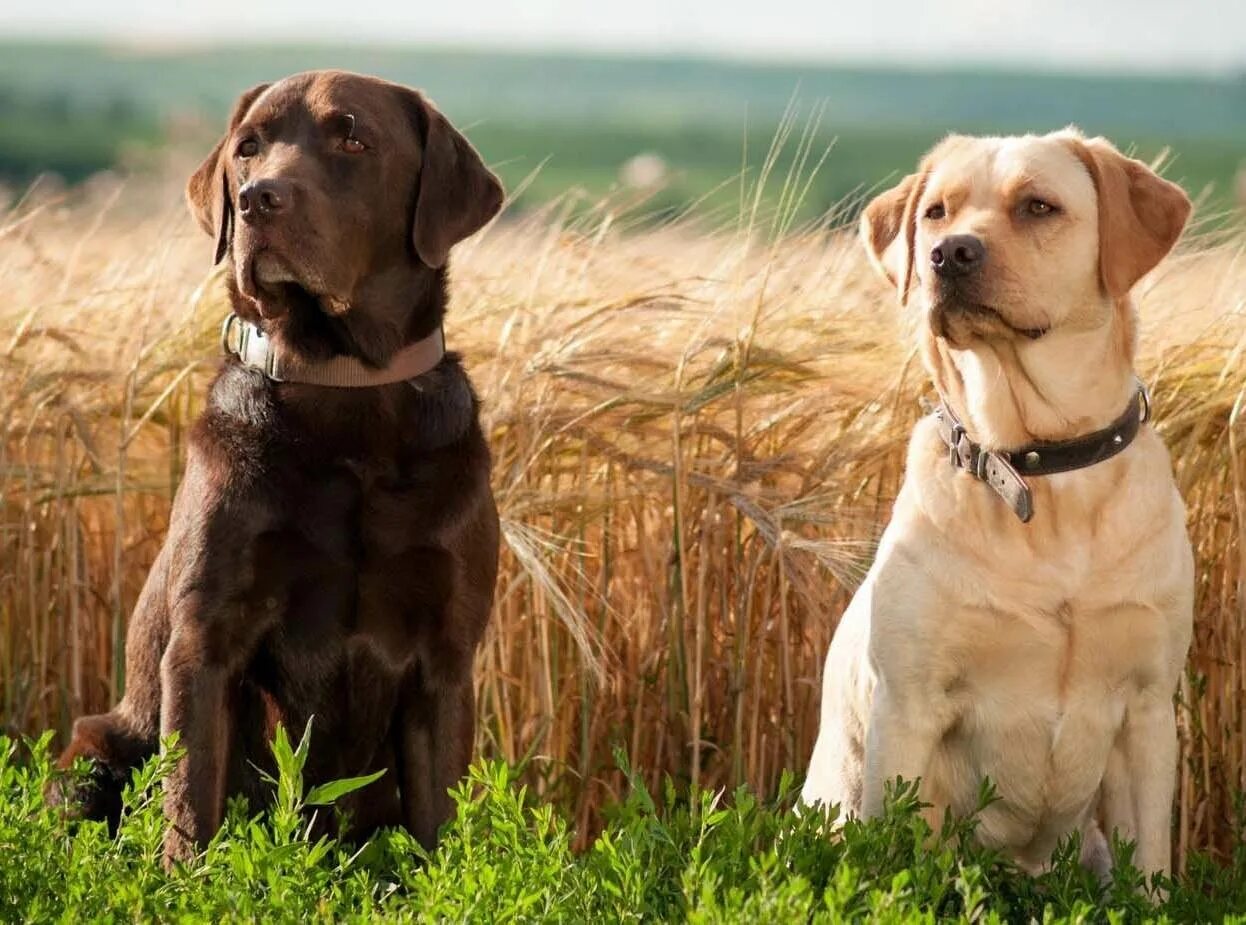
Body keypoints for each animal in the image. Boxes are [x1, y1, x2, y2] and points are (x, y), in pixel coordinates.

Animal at [53, 72, 500, 867]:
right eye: (248, 147)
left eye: (353, 137)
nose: (260, 198)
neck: (344, 387)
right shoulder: (205, 641)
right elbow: (190, 808)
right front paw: (185, 883)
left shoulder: (447, 659)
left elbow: (437, 829)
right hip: (95, 751)